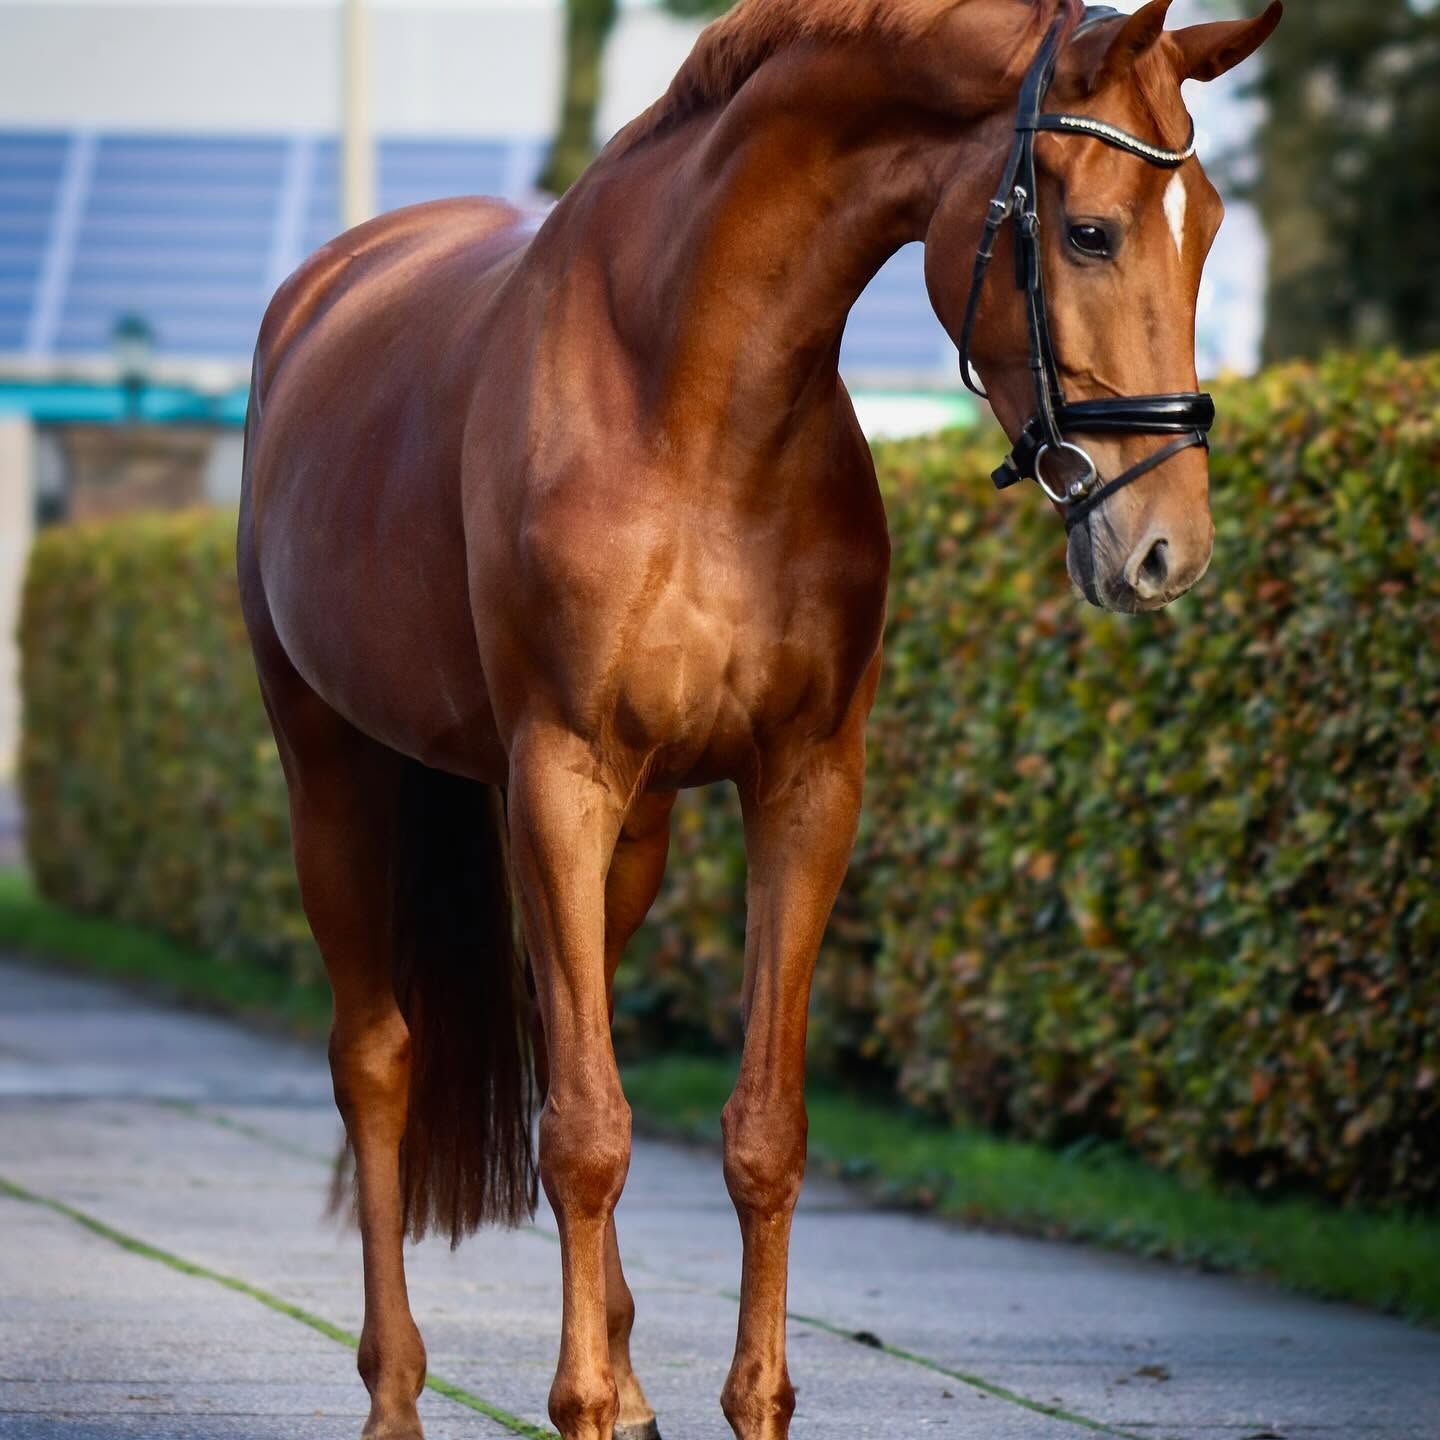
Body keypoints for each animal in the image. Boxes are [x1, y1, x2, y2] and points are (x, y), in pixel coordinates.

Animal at [237, 1, 1281, 1436]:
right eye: (1089, 231)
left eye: (1215, 224)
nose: (1167, 549)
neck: (688, 401)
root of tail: (324, 293)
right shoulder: (557, 779)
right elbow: (583, 1134)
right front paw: (578, 1403)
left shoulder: (803, 786)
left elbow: (758, 1132)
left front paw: (735, 1398)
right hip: (334, 778)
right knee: (379, 1062)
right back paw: (401, 1392)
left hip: (630, 838)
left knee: (567, 1036)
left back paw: (627, 1379)